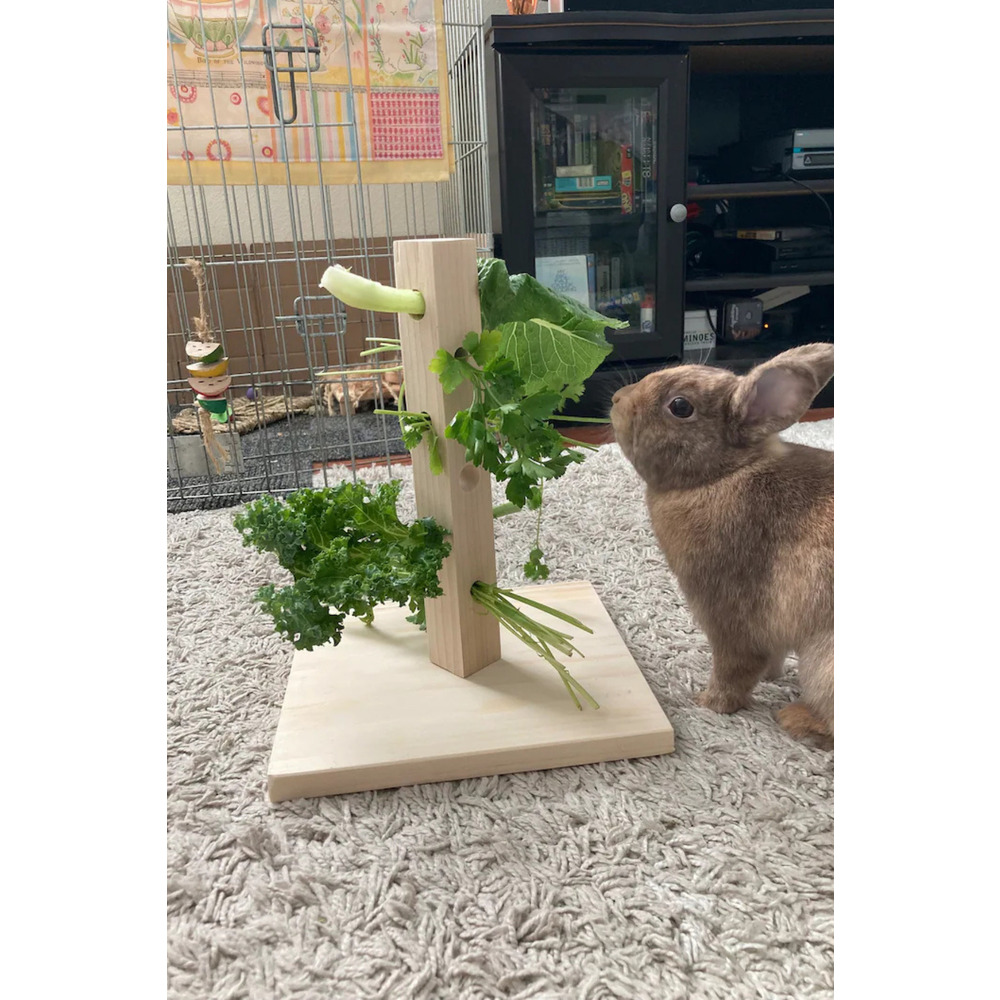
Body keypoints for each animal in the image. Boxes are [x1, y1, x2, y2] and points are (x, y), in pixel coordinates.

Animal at [609, 343, 834, 749]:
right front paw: (771, 678)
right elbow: (771, 657)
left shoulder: (728, 614)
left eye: (680, 406)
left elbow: (736, 666)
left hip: (825, 663)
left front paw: (709, 704)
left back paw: (796, 720)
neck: (720, 474)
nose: (617, 399)